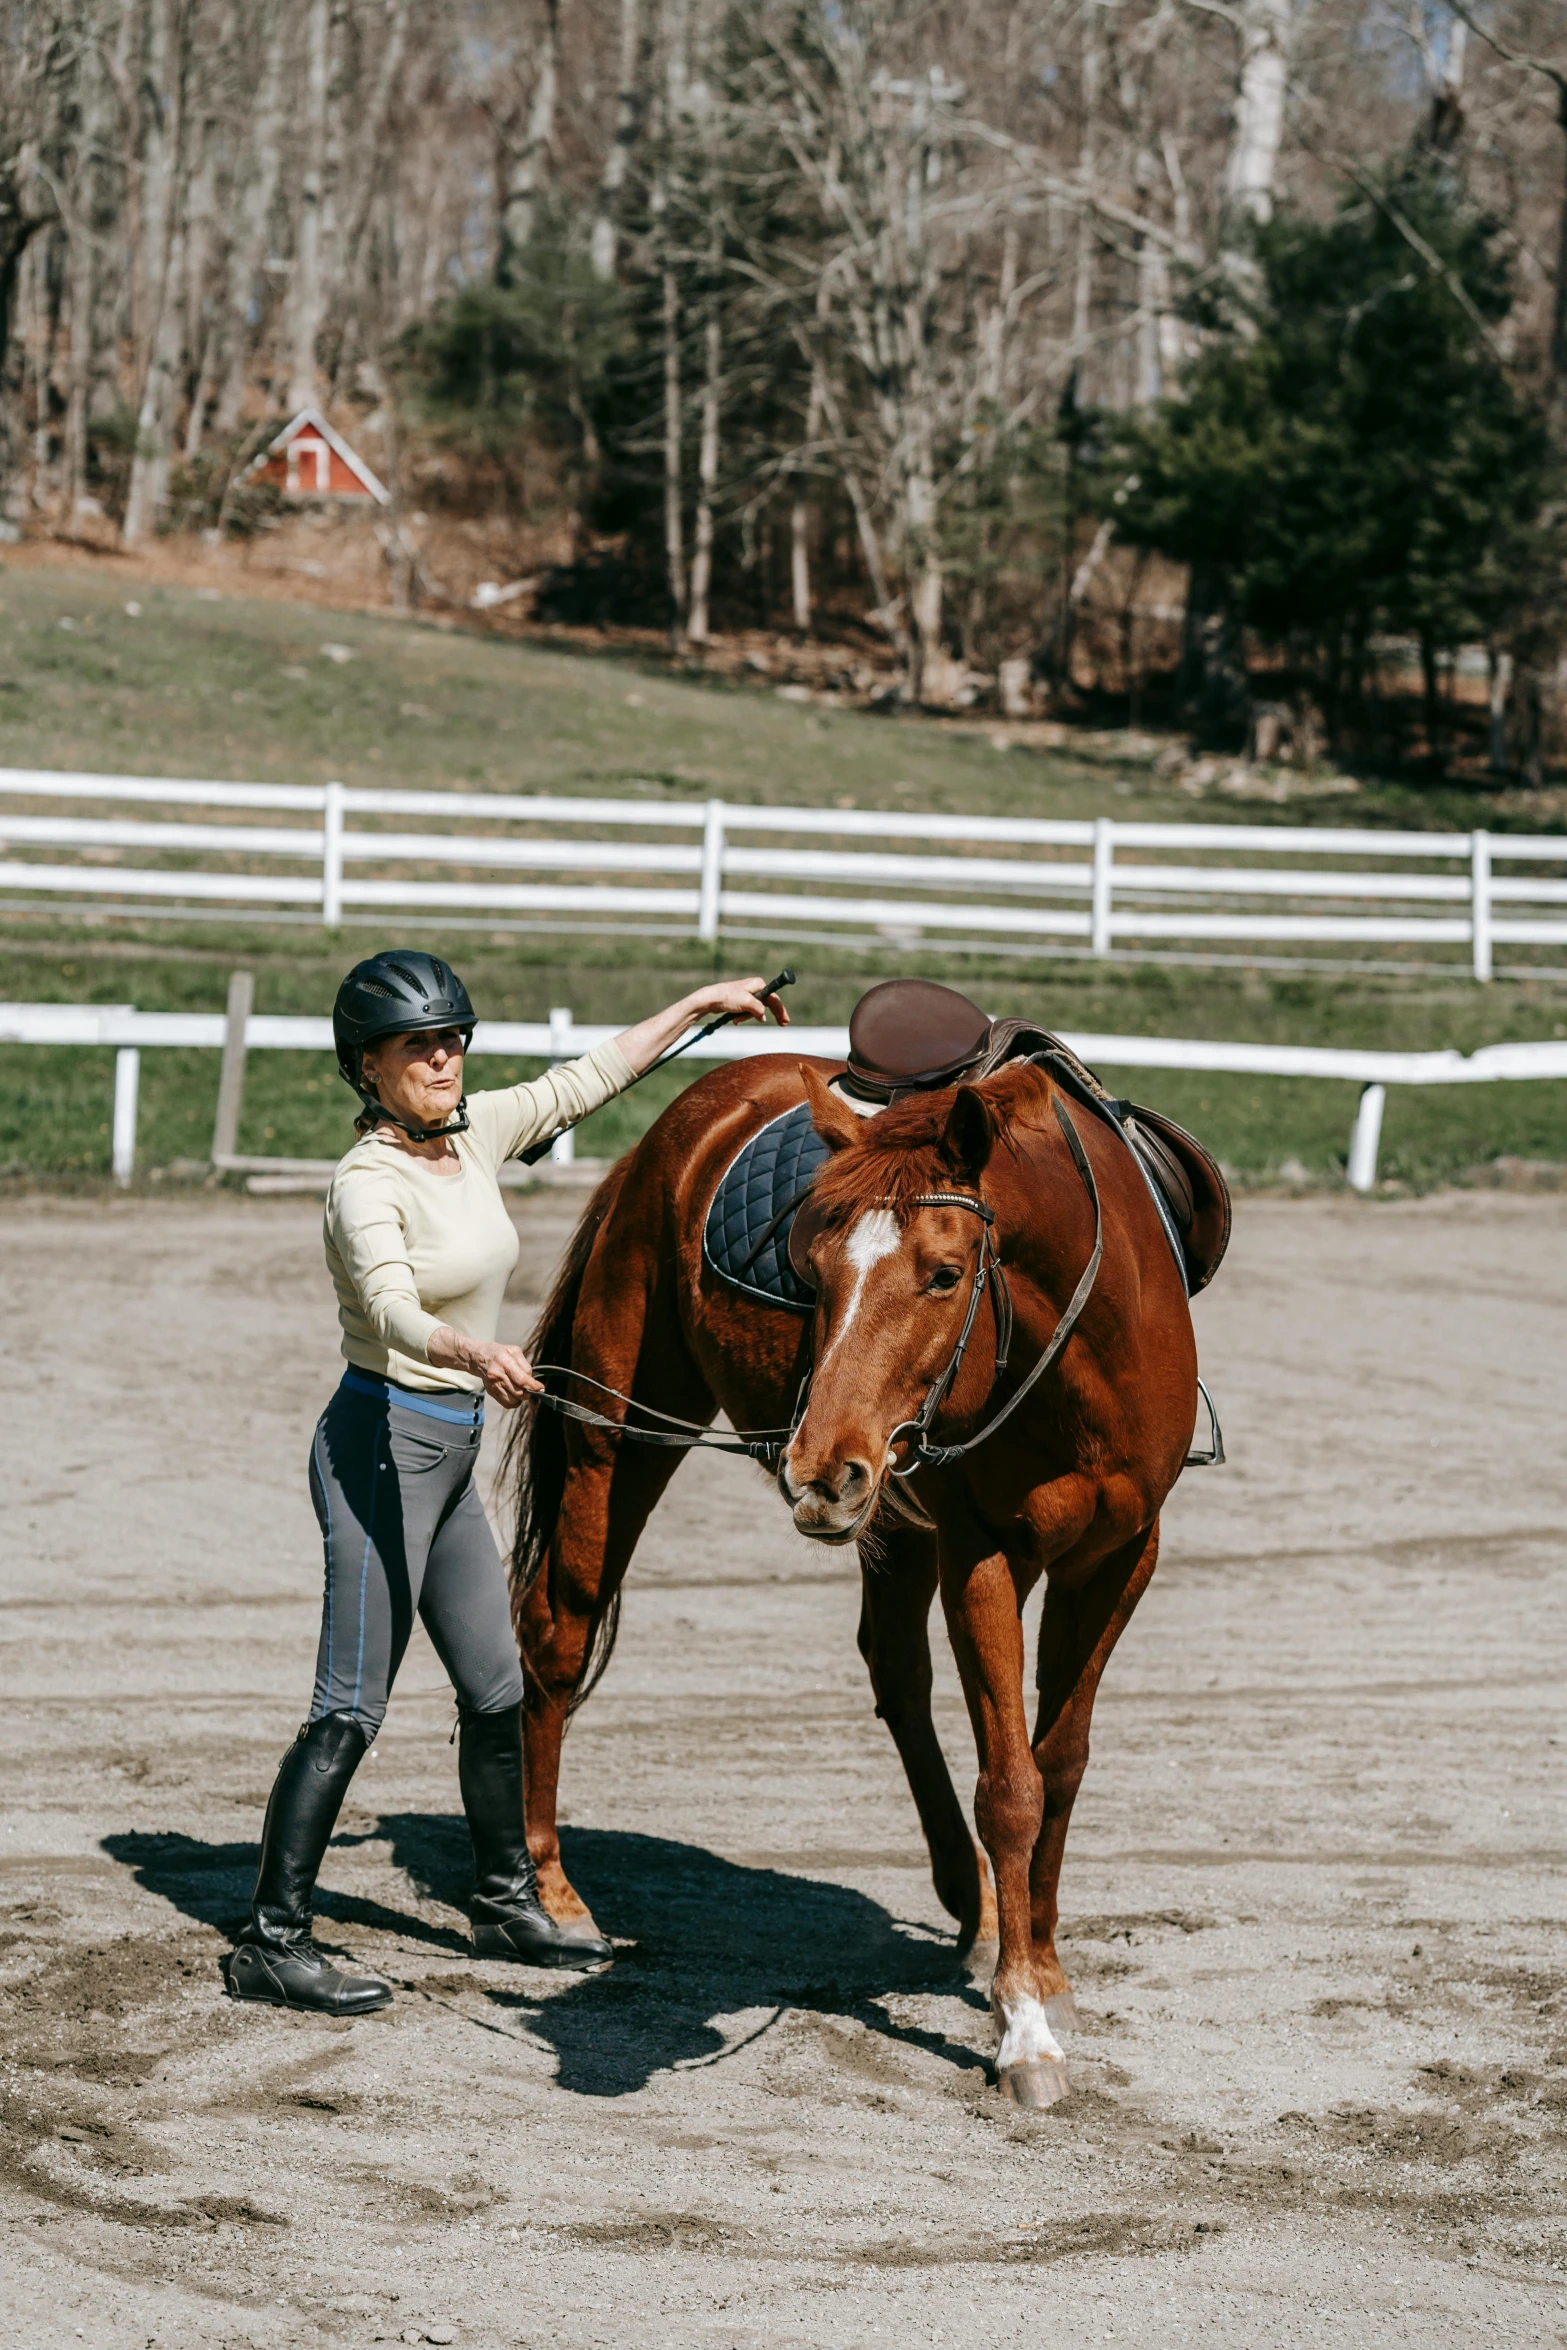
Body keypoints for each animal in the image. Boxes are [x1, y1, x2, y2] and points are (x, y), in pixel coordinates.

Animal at [509, 1057, 1193, 2105]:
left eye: (944, 1274)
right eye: (817, 1270)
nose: (817, 1467)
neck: (1081, 1359)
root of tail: (692, 1108)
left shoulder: (1122, 1556)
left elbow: (1060, 1765)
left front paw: (1041, 1969)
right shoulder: (982, 1555)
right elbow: (1011, 1786)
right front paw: (1023, 2031)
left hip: (887, 1517)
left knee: (895, 1673)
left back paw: (973, 1905)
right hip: (619, 1433)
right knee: (558, 1633)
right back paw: (554, 1895)